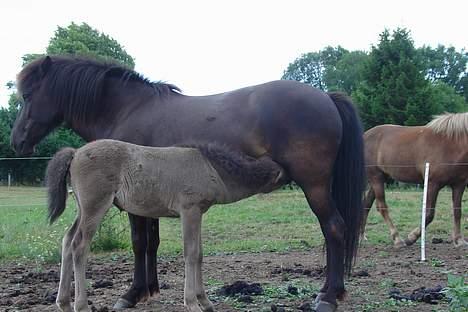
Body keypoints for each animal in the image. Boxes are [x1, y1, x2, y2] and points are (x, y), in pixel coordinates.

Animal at [362, 113, 468, 247]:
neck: (452, 143)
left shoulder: (459, 184)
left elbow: (457, 211)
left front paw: (459, 240)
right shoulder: (433, 184)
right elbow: (429, 214)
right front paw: (412, 237)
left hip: (379, 179)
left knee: (366, 204)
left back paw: (361, 236)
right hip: (376, 178)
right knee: (382, 207)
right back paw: (397, 239)